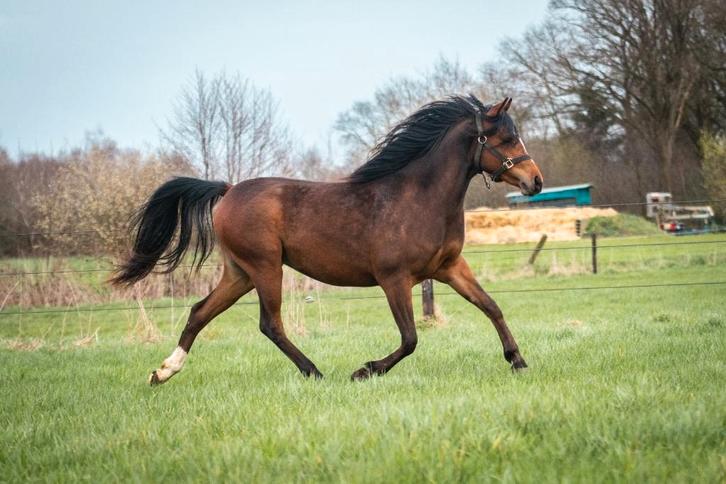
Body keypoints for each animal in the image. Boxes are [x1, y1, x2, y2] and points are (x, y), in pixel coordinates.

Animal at [111, 95, 543, 385]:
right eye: (505, 138)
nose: (535, 181)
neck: (418, 198)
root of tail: (228, 189)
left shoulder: (450, 268)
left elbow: (492, 307)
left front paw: (518, 360)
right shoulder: (394, 279)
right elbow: (410, 338)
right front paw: (365, 370)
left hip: (239, 273)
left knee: (200, 312)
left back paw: (164, 372)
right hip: (265, 268)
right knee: (270, 324)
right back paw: (315, 372)